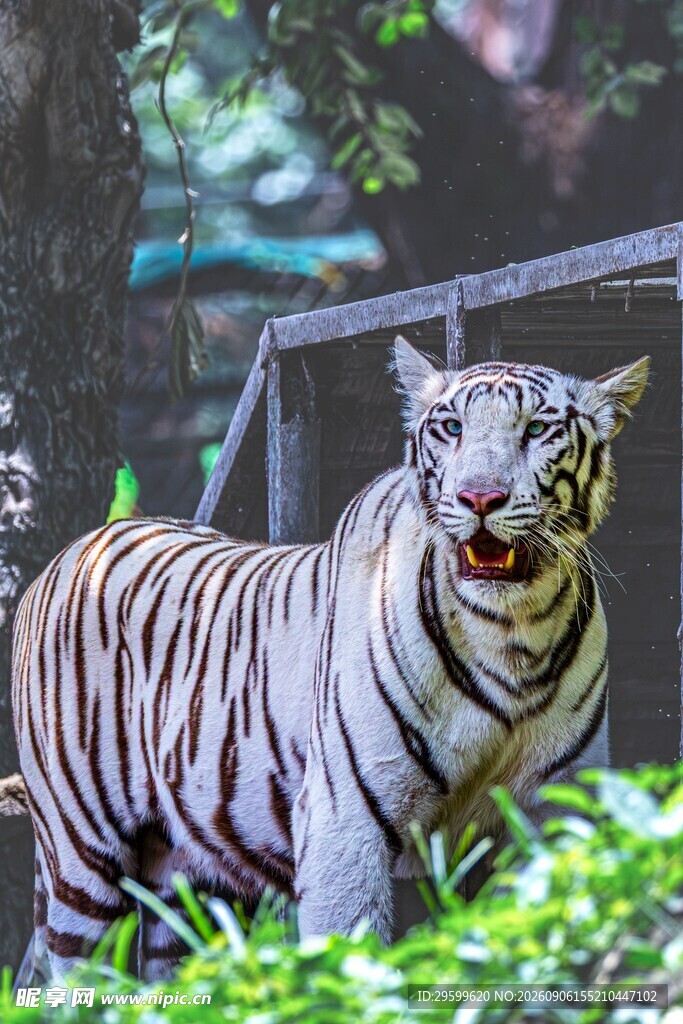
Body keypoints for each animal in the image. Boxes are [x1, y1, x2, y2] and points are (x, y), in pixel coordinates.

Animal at [11, 337, 649, 981]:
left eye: (537, 429)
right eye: (452, 427)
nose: (479, 498)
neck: (513, 633)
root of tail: (74, 550)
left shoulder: (557, 812)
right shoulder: (346, 818)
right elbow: (352, 960)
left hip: (183, 884)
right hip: (81, 855)